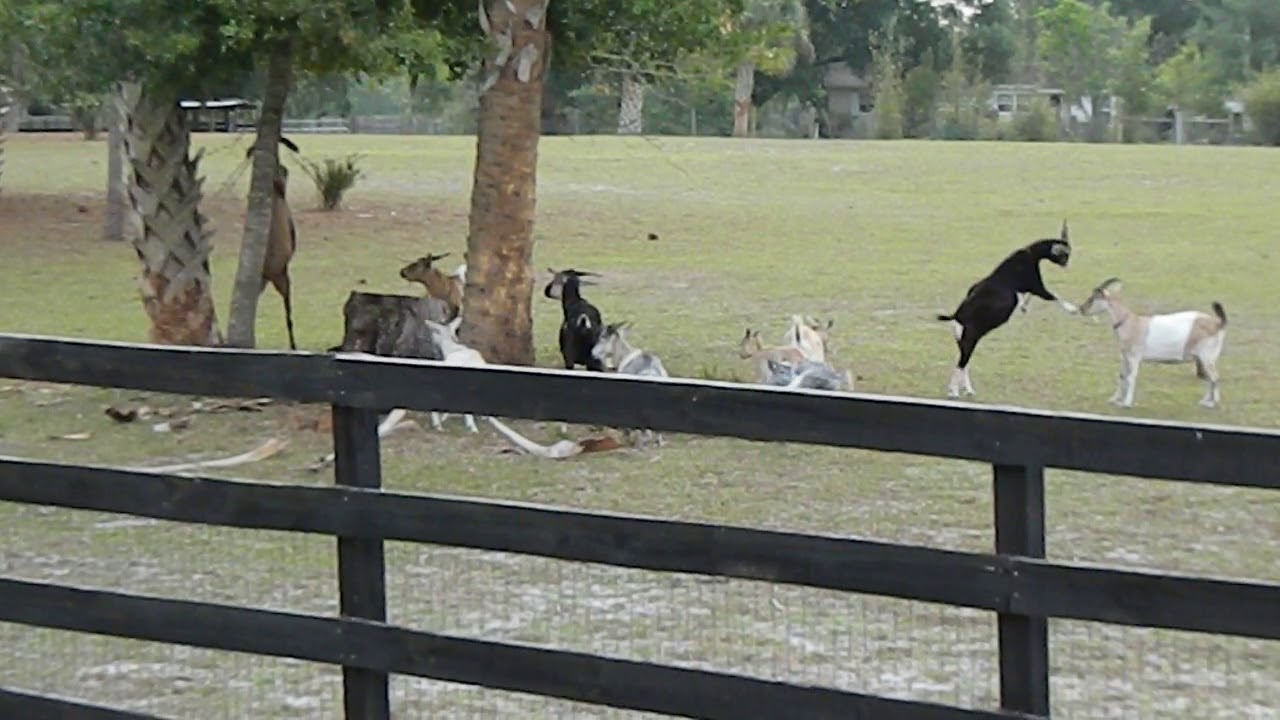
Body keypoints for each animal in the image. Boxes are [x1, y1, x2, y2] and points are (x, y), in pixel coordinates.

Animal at [935, 220, 1078, 398]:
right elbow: (1053, 296)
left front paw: (1024, 307)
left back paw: (967, 389)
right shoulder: (1035, 285)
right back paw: (953, 391)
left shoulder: (1028, 288)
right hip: (970, 340)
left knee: (963, 363)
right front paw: (1072, 309)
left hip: (963, 340)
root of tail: (956, 315)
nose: (1066, 264)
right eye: (1065, 254)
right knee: (961, 364)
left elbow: (1028, 297)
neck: (1030, 254)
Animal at [1077, 278, 1228, 408]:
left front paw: (1126, 403)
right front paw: (1114, 399)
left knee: (1214, 377)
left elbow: (1131, 377)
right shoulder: (1125, 357)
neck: (1131, 322)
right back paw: (1205, 401)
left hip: (1207, 356)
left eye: (1092, 298)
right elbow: (1122, 376)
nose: (1081, 309)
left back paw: (1213, 403)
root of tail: (1218, 323)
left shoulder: (1134, 357)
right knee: (1209, 378)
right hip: (1203, 358)